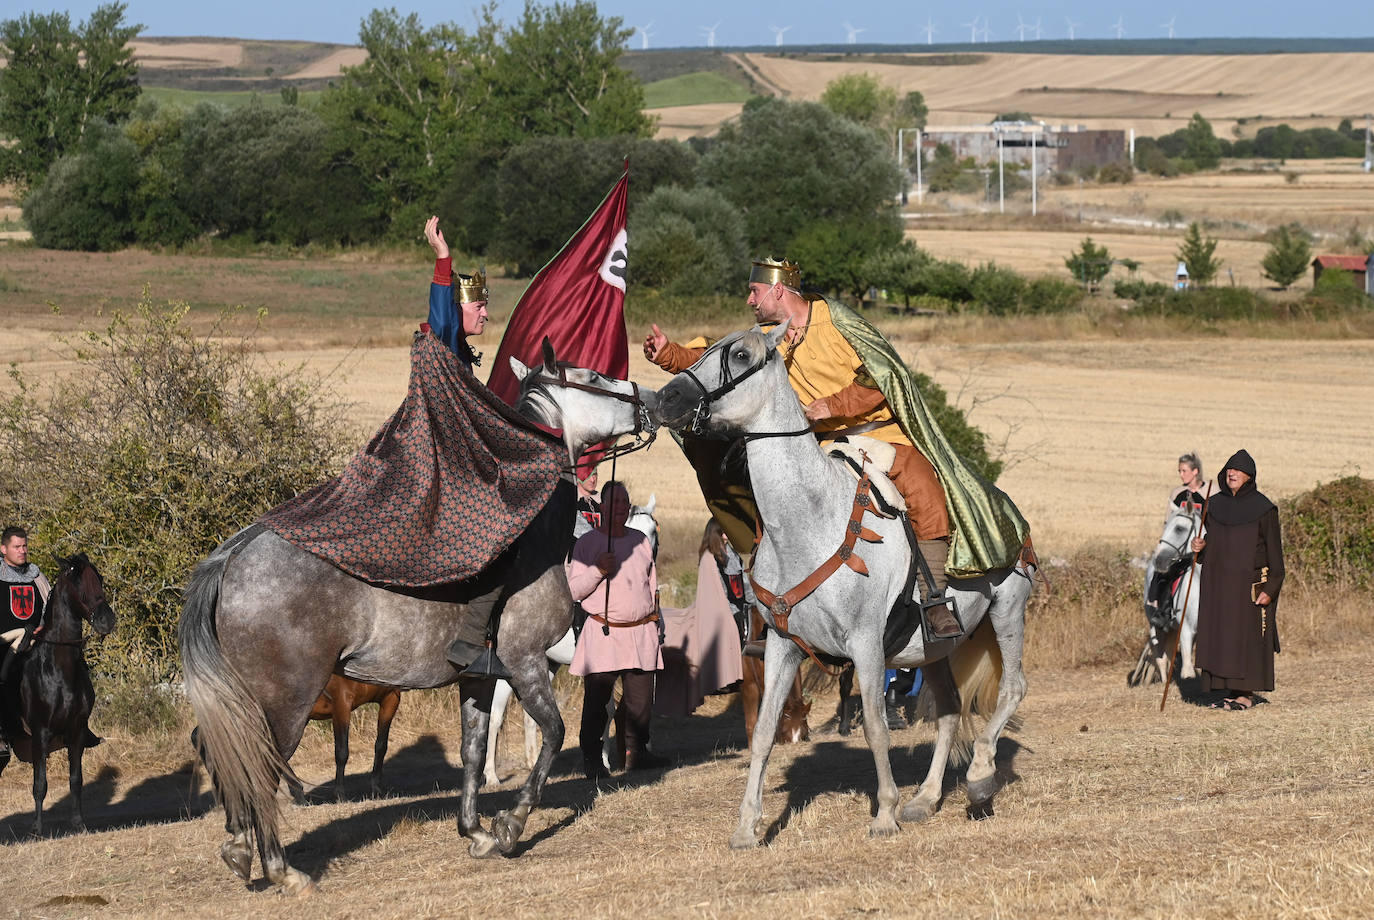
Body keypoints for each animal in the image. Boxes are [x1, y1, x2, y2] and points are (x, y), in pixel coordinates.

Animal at [0, 554, 115, 834]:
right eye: (78, 582)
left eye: (99, 578)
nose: (107, 620)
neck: (58, 669)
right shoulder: (40, 734)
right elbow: (40, 784)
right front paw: (37, 828)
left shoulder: (76, 732)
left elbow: (76, 779)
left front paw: (78, 822)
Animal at [483, 497, 659, 785]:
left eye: (653, 530)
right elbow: (603, 710)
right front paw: (601, 761)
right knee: (496, 717)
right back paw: (491, 775)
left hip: (546, 665)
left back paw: (533, 761)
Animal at [651, 326, 1033, 851]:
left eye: (742, 354)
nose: (666, 398)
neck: (808, 523)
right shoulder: (783, 646)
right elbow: (764, 732)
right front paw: (747, 827)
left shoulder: (866, 646)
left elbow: (874, 726)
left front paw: (884, 814)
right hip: (933, 647)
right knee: (950, 710)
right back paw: (925, 799)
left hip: (1007, 608)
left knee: (1012, 688)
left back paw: (977, 778)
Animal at [1126, 499, 1203, 689]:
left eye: (1179, 529)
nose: (1159, 560)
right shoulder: (1186, 629)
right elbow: (1188, 672)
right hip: (1156, 627)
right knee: (1161, 658)